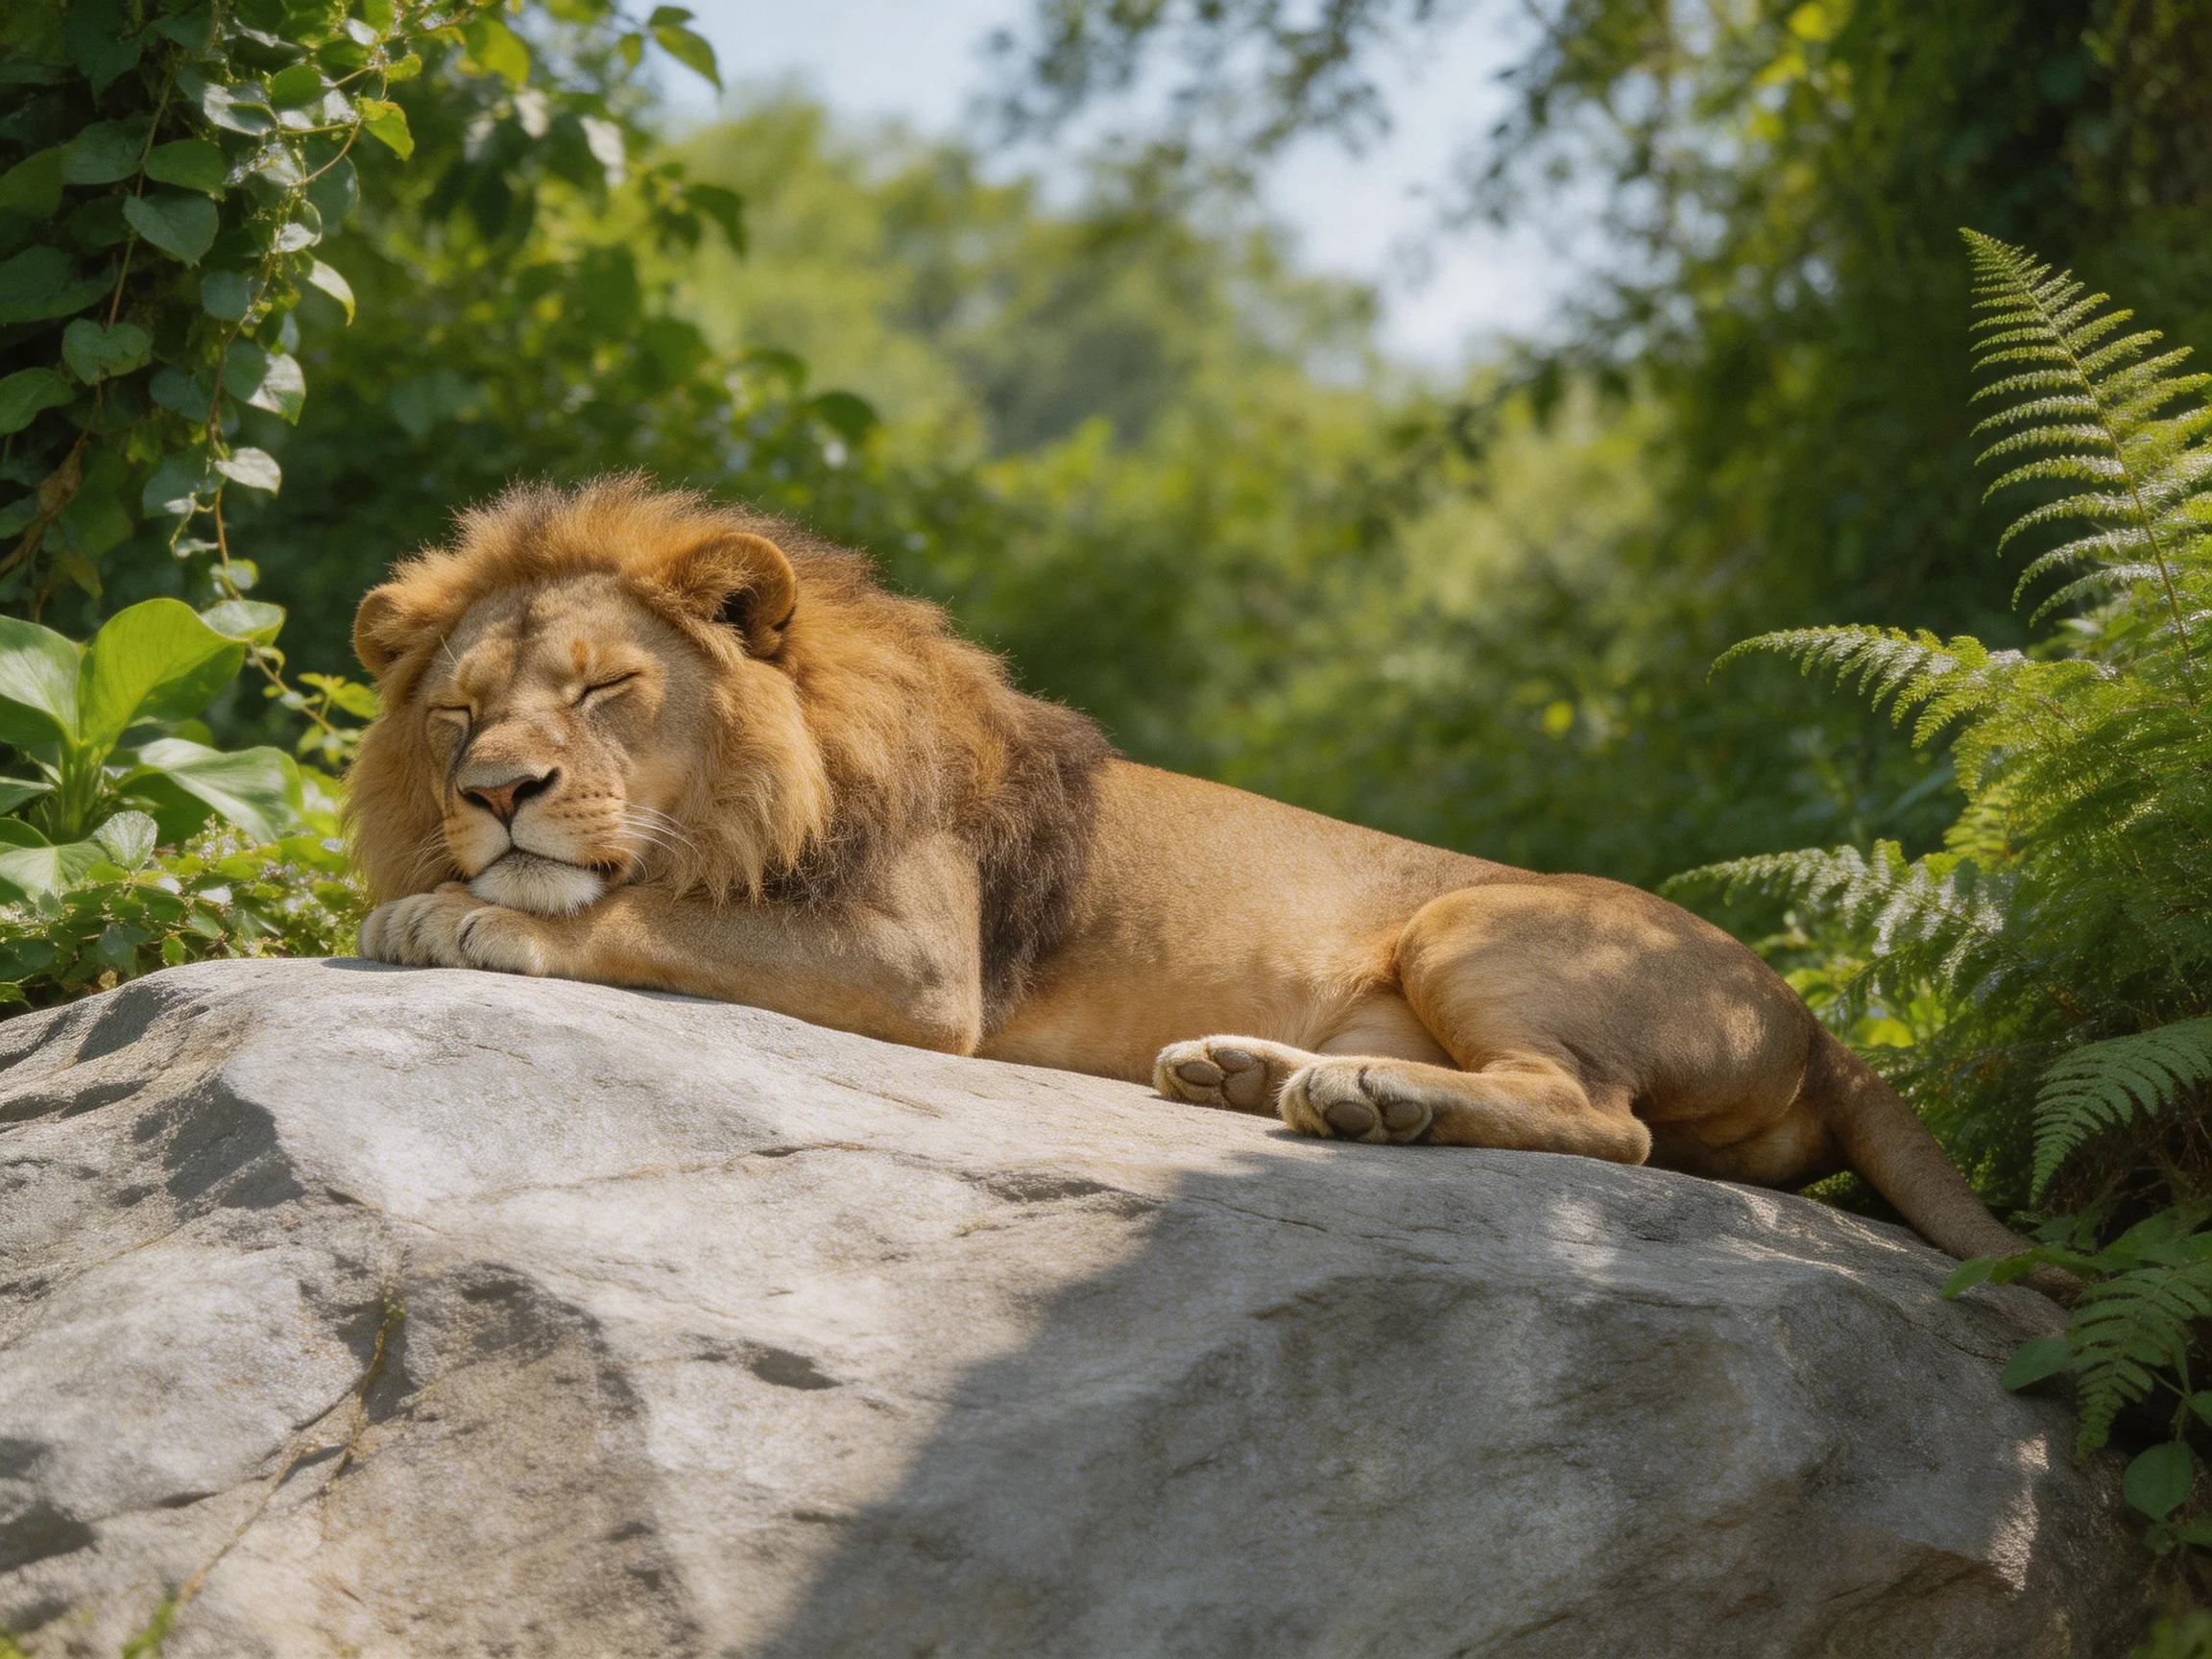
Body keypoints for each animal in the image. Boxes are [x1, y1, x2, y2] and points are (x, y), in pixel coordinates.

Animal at [347, 475, 2035, 1271]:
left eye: (606, 688)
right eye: (456, 715)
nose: (495, 794)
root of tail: (1818, 1020)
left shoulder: (919, 963)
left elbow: (641, 912)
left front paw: (459, 911)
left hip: (1479, 921)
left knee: (1600, 1125)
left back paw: (1371, 1104)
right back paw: (1261, 1078)